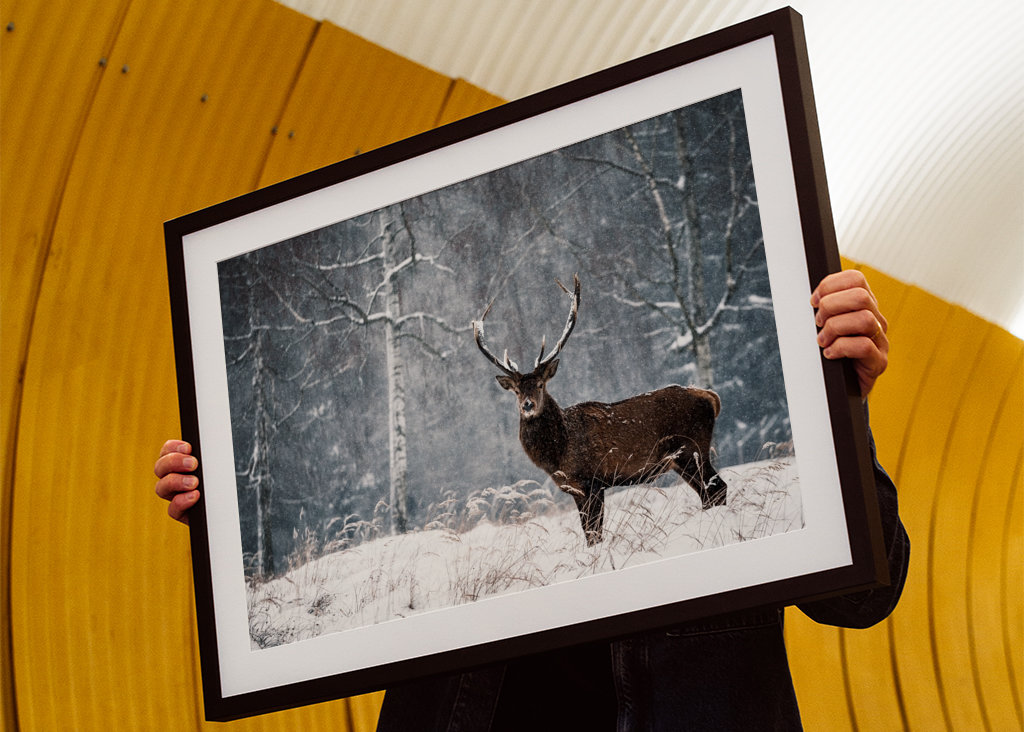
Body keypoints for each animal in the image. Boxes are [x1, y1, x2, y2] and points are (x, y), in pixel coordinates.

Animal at [473, 274, 726, 545]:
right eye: (517, 391)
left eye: (540, 384)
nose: (528, 405)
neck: (558, 452)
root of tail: (710, 397)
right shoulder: (574, 488)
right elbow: (589, 533)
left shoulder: (591, 482)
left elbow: (594, 534)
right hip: (684, 459)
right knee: (709, 494)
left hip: (692, 449)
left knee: (718, 489)